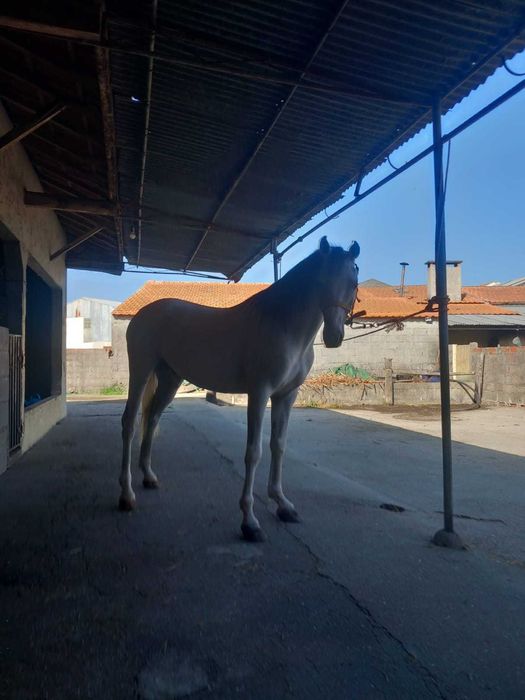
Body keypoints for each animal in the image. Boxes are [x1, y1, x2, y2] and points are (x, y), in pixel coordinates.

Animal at [119, 236, 360, 542]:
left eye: (353, 281)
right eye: (320, 280)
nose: (333, 337)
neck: (282, 325)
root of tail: (142, 314)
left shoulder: (285, 396)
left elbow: (278, 445)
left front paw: (283, 504)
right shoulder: (259, 394)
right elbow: (253, 452)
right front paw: (250, 521)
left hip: (170, 379)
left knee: (152, 419)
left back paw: (149, 477)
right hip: (140, 371)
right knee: (130, 423)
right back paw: (126, 496)